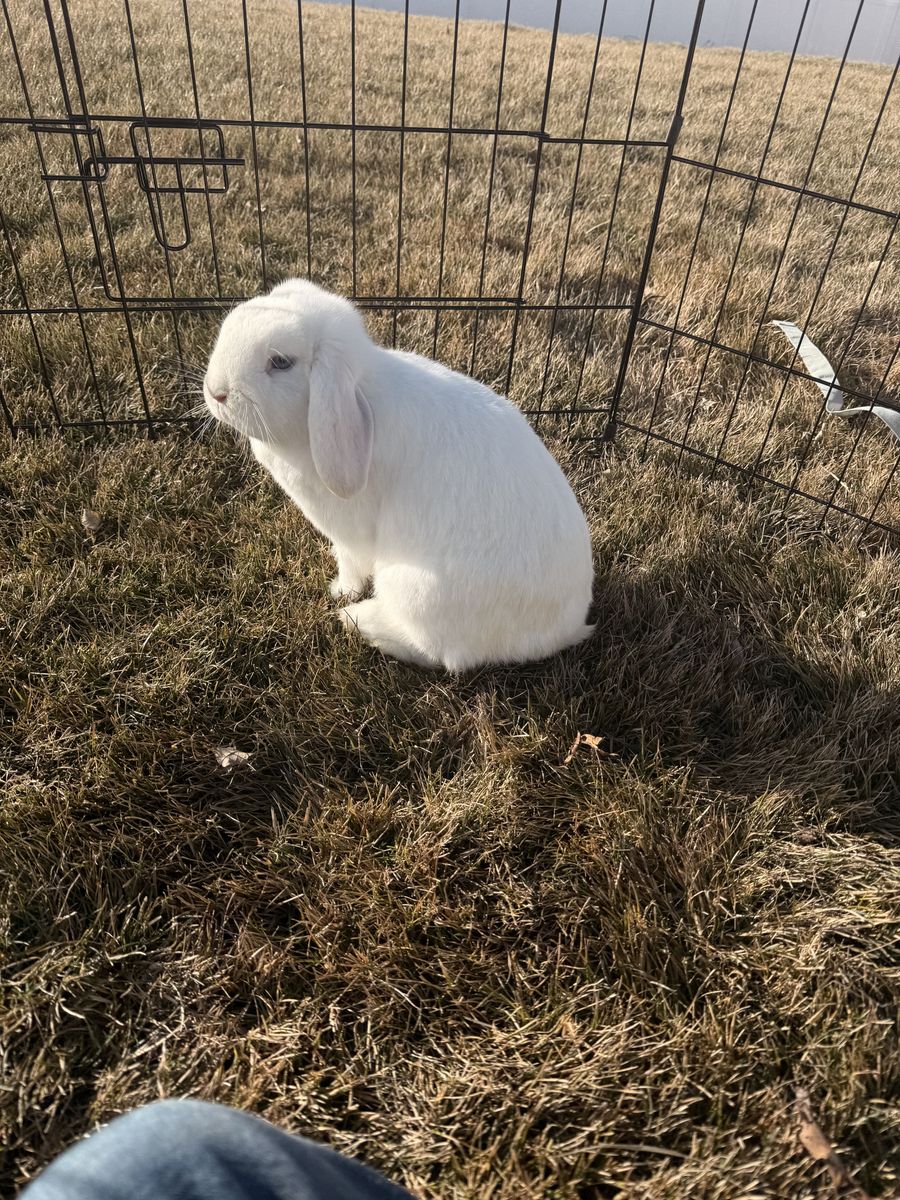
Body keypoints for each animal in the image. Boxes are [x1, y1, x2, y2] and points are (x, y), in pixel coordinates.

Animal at [203, 278, 594, 671]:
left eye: (280, 362)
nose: (215, 392)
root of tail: (566, 630)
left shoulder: (349, 533)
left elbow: (351, 563)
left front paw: (340, 591)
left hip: (416, 589)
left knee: (438, 653)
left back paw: (359, 619)